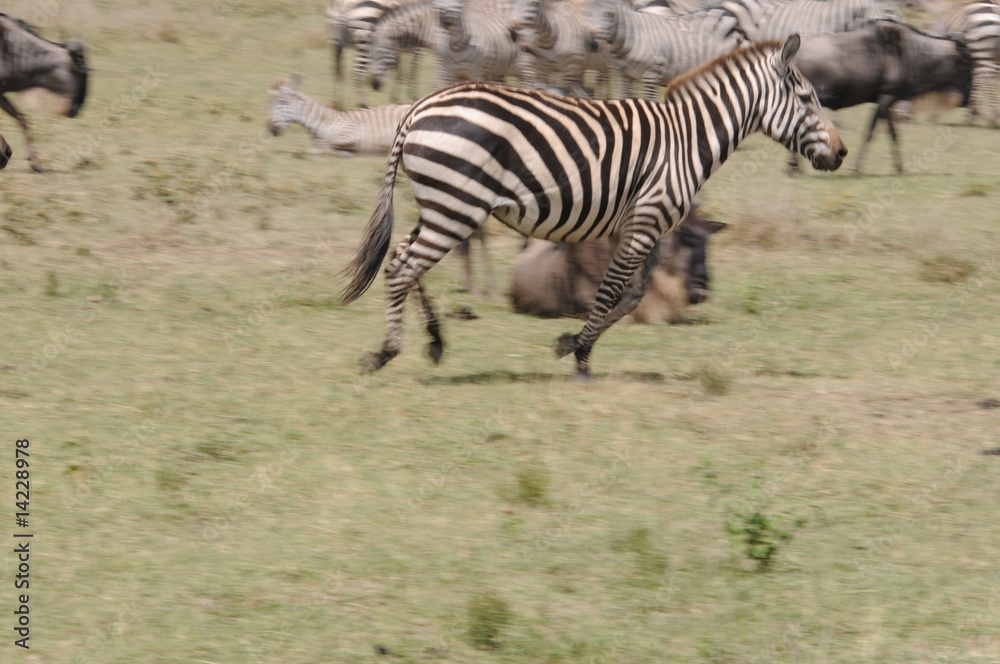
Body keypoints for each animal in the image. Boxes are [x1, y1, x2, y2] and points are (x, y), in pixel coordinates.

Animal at [268, 77, 411, 156]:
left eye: (283, 102)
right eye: (270, 104)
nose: (270, 128)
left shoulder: (351, 132)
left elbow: (324, 144)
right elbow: (322, 144)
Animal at [340, 36, 847, 378]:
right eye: (808, 99)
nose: (841, 153)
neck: (687, 139)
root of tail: (418, 108)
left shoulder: (637, 227)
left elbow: (632, 294)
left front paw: (570, 344)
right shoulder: (646, 222)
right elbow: (610, 292)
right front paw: (581, 356)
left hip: (441, 204)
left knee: (401, 258)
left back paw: (434, 340)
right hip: (456, 206)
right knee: (402, 268)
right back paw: (386, 353)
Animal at [591, 0, 746, 99]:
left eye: (610, 14)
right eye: (588, 13)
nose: (594, 40)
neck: (633, 35)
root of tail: (728, 15)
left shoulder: (651, 74)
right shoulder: (626, 75)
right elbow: (627, 98)